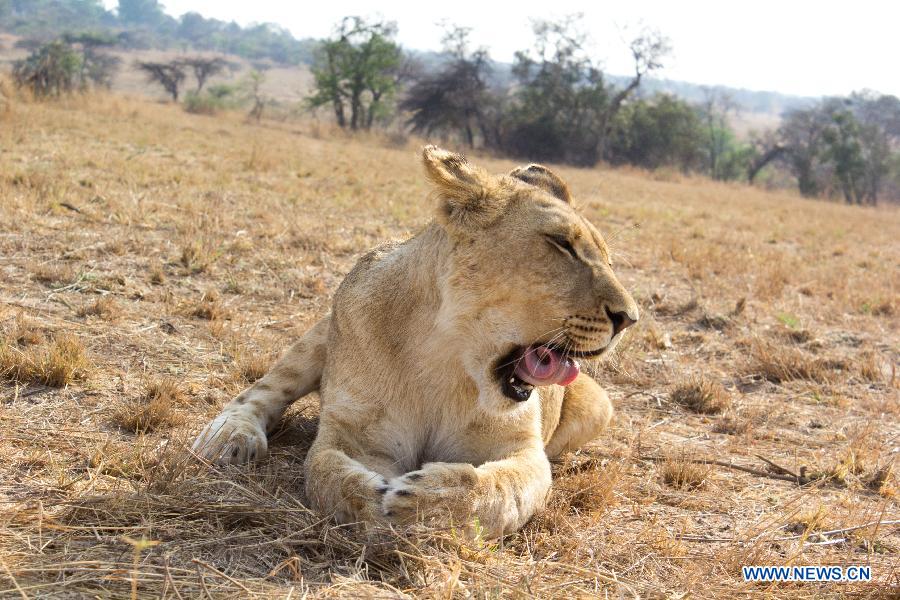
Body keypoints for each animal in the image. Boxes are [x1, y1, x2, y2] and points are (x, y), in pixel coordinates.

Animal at [192, 146, 636, 540]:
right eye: (562, 244)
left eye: (610, 260)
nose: (629, 318)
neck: (445, 355)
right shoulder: (354, 435)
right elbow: (329, 475)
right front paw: (373, 503)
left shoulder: (523, 450)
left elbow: (496, 487)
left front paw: (426, 503)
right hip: (321, 333)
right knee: (263, 390)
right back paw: (228, 438)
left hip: (600, 406)